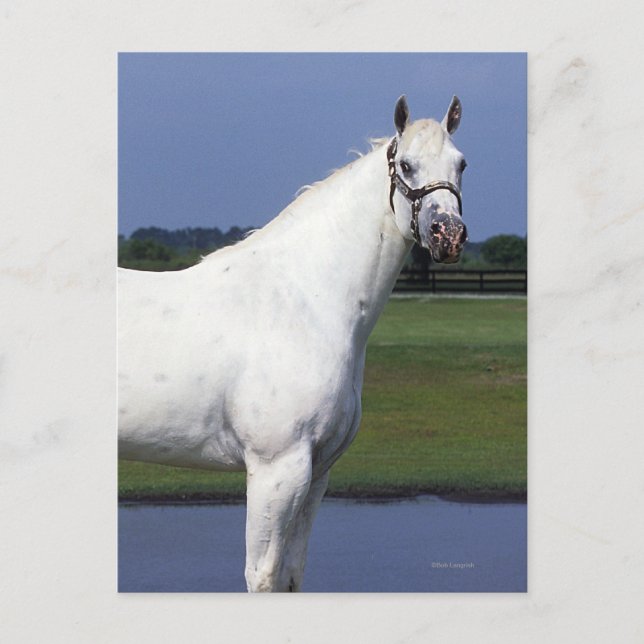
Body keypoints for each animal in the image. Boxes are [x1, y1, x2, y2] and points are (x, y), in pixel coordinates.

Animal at [118, 95, 468, 592]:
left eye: (461, 163)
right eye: (406, 164)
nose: (448, 235)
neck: (303, 299)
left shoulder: (317, 472)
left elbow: (291, 574)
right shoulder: (276, 470)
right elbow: (263, 575)